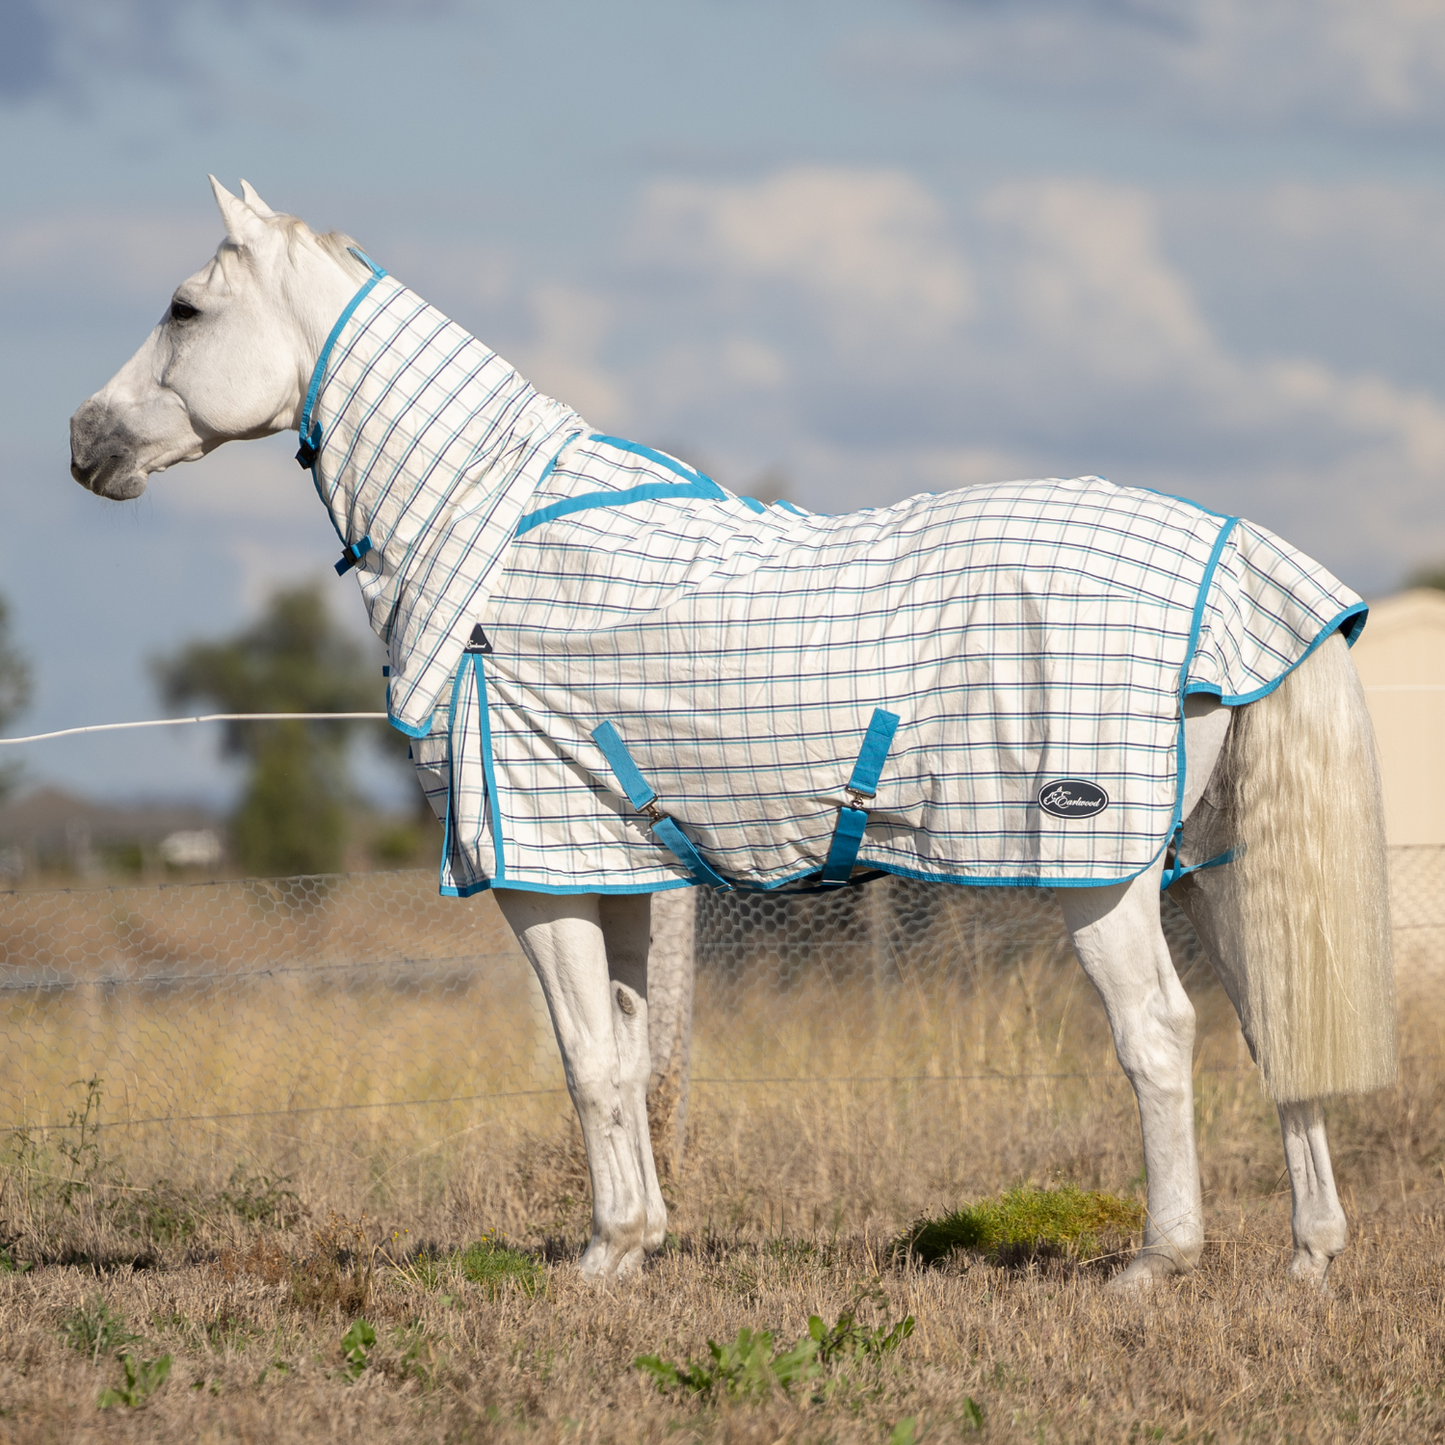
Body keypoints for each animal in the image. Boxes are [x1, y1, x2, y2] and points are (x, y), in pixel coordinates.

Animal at [70, 174, 1398, 1294]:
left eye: (185, 307)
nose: (86, 441)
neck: (496, 551)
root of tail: (1232, 555)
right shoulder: (605, 870)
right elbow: (628, 1054)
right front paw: (640, 1239)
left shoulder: (534, 876)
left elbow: (586, 1061)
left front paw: (600, 1255)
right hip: (1202, 862)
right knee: (1273, 1017)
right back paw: (1310, 1253)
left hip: (1093, 871)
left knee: (1159, 1036)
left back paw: (1154, 1262)